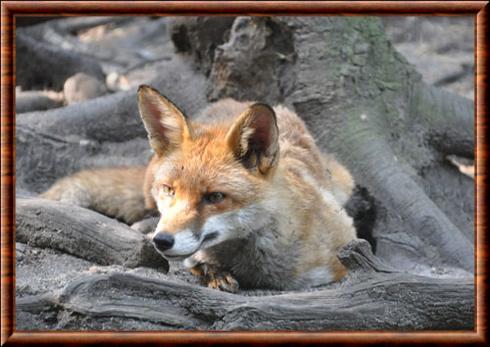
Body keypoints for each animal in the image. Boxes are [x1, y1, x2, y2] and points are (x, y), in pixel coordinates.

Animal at [41, 85, 356, 292]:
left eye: (214, 197)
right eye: (169, 190)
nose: (162, 241)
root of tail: (235, 100)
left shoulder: (340, 258)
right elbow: (196, 261)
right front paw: (213, 273)